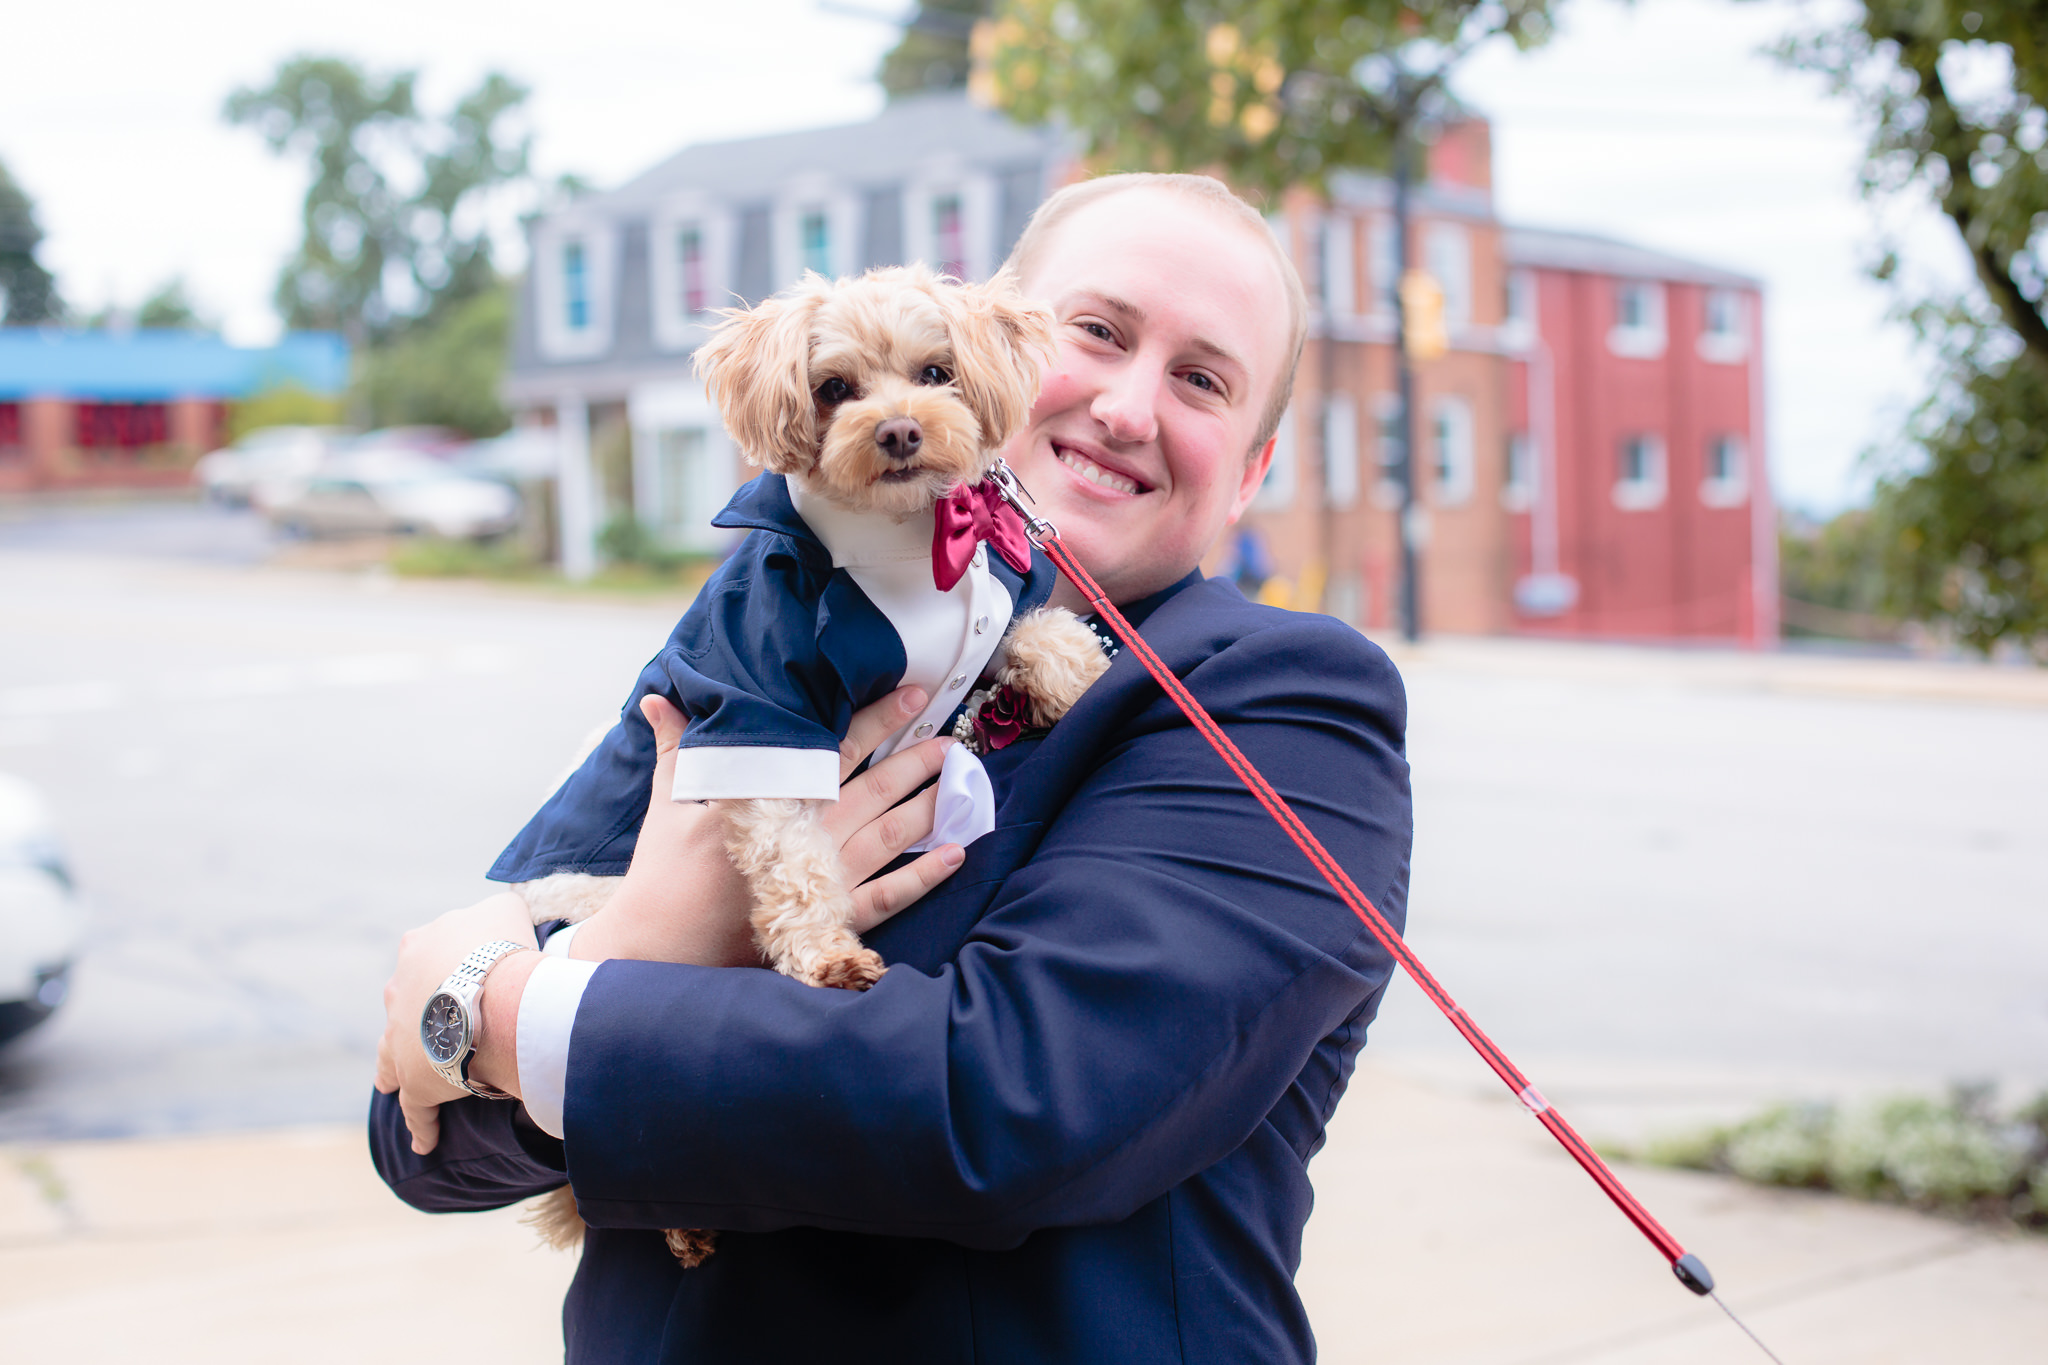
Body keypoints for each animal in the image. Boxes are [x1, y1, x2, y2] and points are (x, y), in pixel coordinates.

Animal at [520, 266, 1114, 1268]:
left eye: (937, 371)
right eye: (834, 388)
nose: (900, 430)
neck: (901, 555)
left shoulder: (989, 605)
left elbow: (1040, 624)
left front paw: (1075, 675)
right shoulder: (754, 706)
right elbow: (795, 861)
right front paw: (829, 957)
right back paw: (681, 1216)